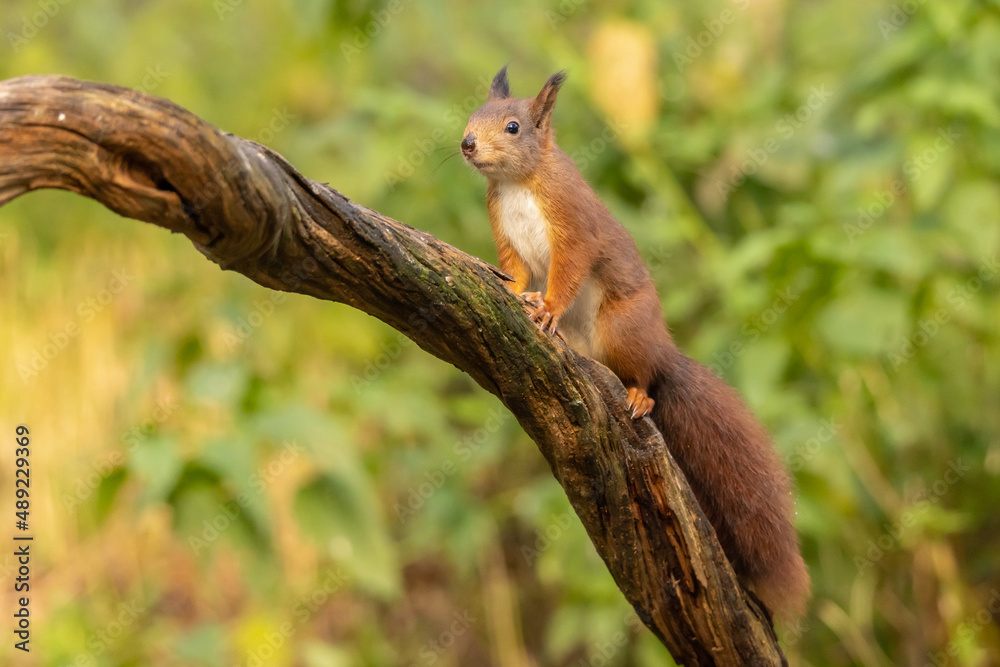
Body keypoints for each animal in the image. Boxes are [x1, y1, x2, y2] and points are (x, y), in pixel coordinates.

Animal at [461, 66, 810, 621]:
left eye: (513, 127)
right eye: (473, 114)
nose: (467, 143)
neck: (516, 184)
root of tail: (664, 350)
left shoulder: (573, 224)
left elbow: (568, 269)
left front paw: (547, 307)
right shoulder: (506, 234)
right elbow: (514, 270)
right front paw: (515, 292)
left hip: (622, 329)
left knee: (643, 374)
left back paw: (641, 394)